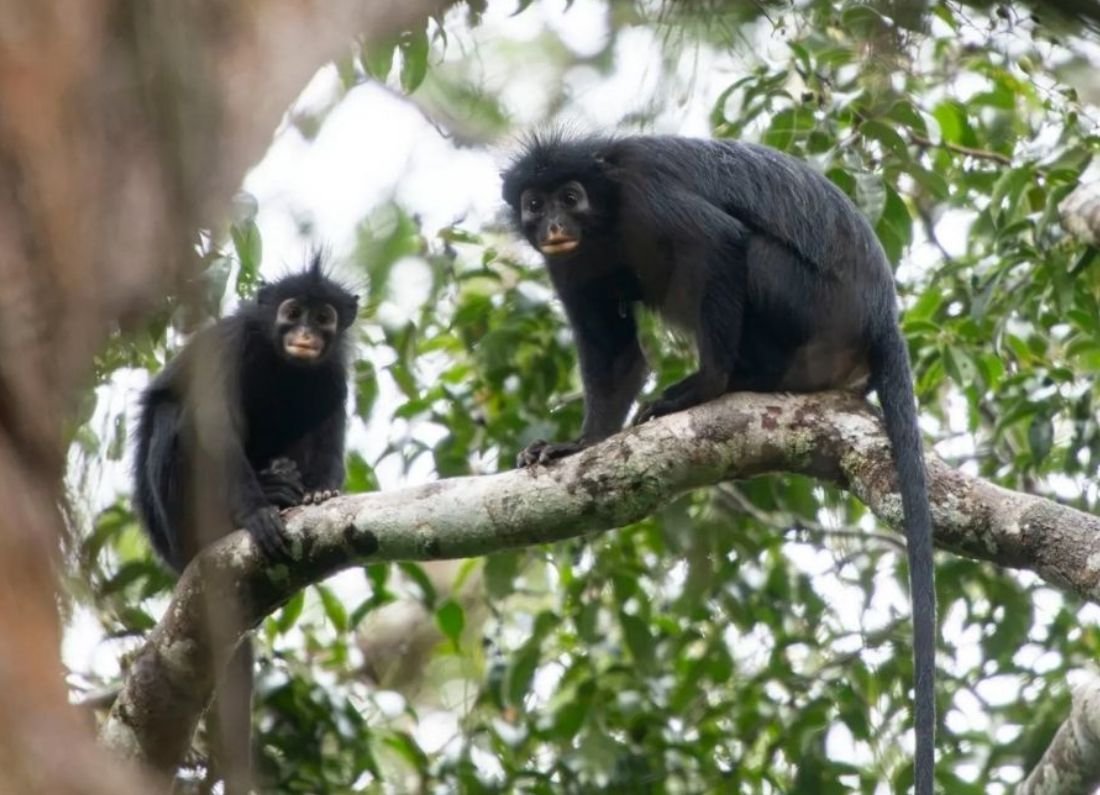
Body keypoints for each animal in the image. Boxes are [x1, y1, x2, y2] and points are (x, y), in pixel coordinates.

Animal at [131, 253, 358, 792]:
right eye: (292, 312)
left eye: (324, 318)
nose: (305, 334)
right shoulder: (230, 348)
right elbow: (214, 429)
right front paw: (257, 513)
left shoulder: (333, 370)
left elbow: (330, 419)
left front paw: (320, 494)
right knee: (175, 414)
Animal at [502, 133, 935, 794]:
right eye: (534, 203)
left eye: (570, 197)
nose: (553, 223)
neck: (606, 216)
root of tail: (880, 313)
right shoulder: (570, 263)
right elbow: (615, 356)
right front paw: (577, 446)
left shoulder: (646, 194)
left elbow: (720, 243)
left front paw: (704, 387)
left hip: (809, 304)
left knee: (746, 251)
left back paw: (736, 379)